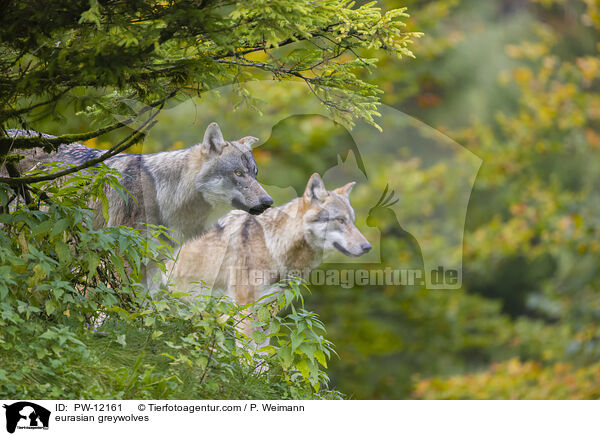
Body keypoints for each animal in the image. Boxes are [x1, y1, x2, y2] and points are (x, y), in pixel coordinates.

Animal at [164, 172, 370, 342]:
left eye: (352, 221)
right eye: (340, 220)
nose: (367, 247)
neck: (273, 246)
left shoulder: (267, 315)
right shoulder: (245, 311)